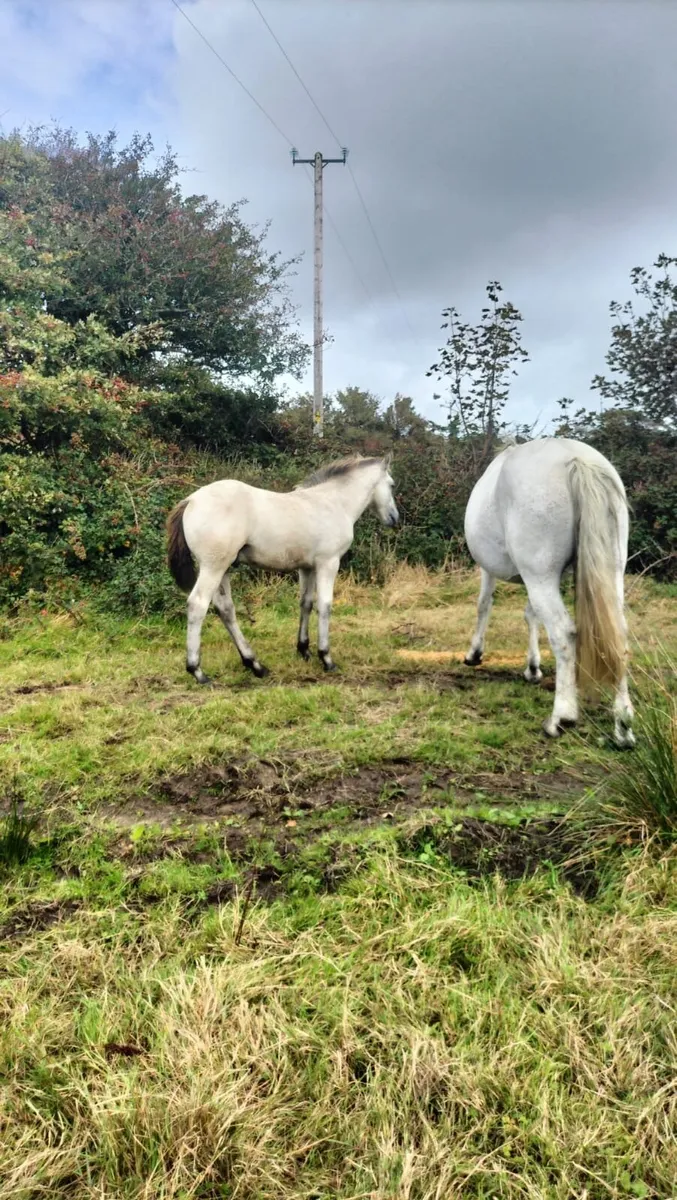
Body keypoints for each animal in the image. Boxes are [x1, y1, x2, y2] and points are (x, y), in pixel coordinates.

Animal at [166, 454, 399, 684]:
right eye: (391, 484)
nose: (394, 518)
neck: (333, 503)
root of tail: (191, 500)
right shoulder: (328, 563)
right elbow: (325, 606)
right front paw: (326, 658)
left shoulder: (307, 568)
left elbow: (306, 603)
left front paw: (304, 650)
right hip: (213, 567)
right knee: (198, 605)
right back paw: (198, 671)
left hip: (223, 569)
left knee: (225, 609)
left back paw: (255, 665)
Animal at [462, 436, 635, 748]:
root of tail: (576, 459)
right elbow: (531, 615)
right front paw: (532, 668)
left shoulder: (493, 570)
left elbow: (484, 605)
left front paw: (474, 653)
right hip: (609, 571)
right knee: (619, 634)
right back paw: (623, 727)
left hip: (539, 576)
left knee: (563, 633)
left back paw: (561, 718)